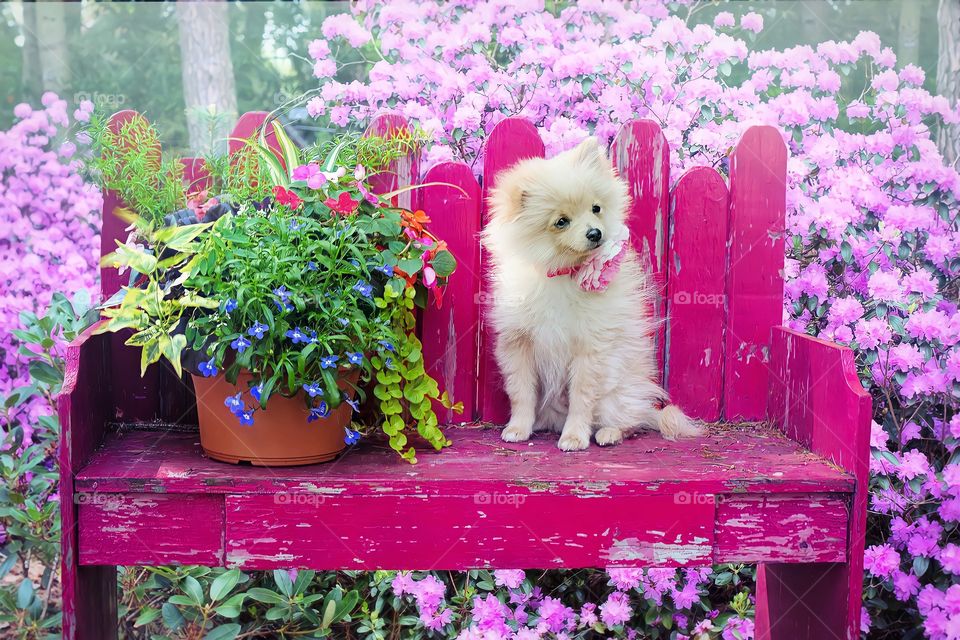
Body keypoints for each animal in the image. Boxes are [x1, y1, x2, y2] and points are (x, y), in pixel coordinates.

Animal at [484, 138, 700, 452]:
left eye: (596, 208)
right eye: (561, 221)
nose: (595, 233)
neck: (561, 274)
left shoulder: (591, 348)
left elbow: (581, 398)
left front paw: (574, 436)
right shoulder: (518, 343)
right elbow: (521, 392)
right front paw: (517, 428)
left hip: (616, 394)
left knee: (629, 421)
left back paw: (609, 433)